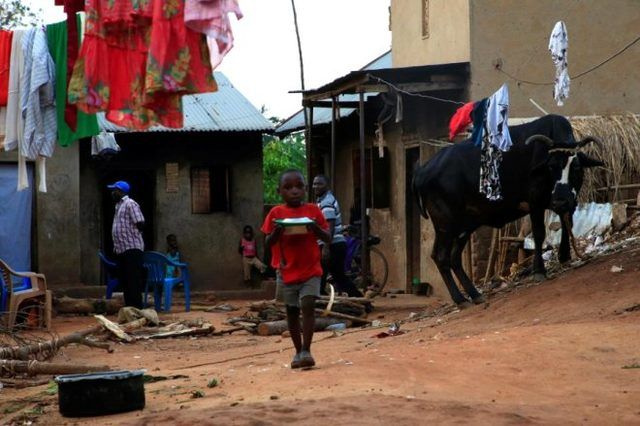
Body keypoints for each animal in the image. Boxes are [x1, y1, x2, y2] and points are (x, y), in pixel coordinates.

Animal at [412, 114, 604, 306]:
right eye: (551, 166)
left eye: (576, 167)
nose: (560, 200)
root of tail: (423, 171)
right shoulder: (535, 202)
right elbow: (539, 234)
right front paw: (539, 271)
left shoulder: (570, 200)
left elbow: (567, 222)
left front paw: (564, 255)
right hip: (445, 224)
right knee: (441, 256)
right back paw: (460, 299)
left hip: (464, 226)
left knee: (454, 258)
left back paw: (475, 294)